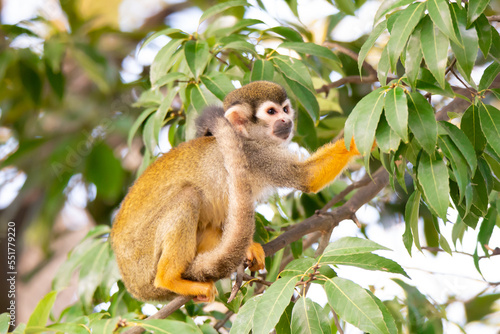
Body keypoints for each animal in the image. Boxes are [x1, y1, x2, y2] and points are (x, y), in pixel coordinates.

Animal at [110, 80, 360, 302]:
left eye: (286, 109)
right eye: (271, 111)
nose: (286, 120)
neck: (247, 138)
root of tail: (133, 284)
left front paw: (249, 249)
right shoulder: (255, 155)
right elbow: (306, 177)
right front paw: (360, 140)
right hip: (142, 257)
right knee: (188, 197)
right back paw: (168, 279)